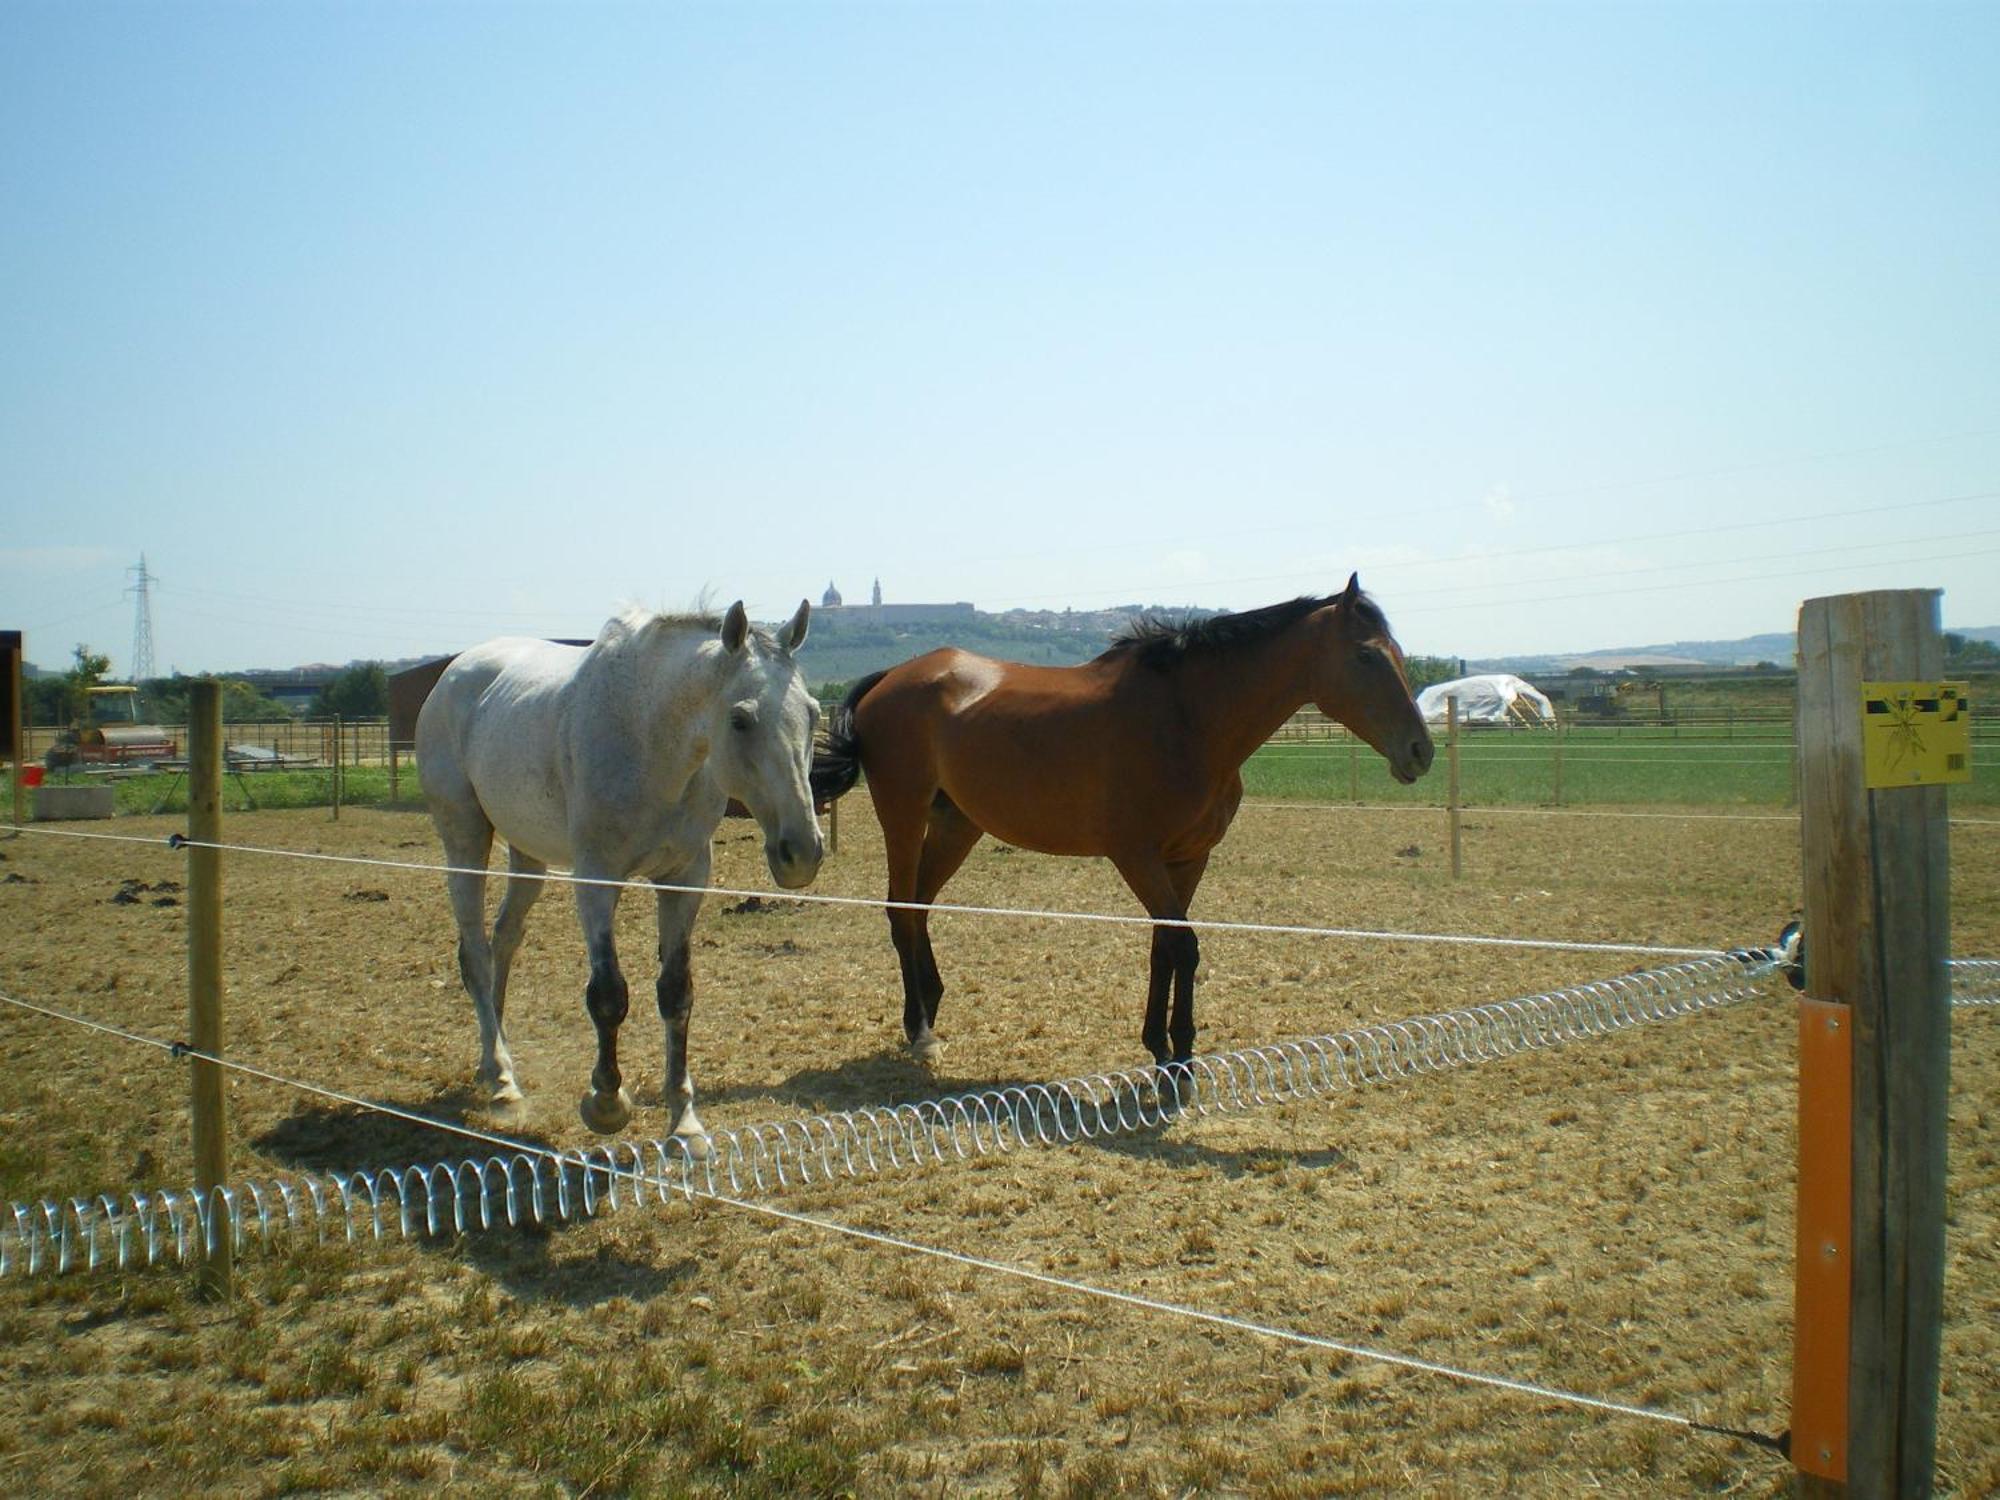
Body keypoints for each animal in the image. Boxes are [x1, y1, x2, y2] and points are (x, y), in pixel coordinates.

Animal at [414, 604, 820, 1144]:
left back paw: (492, 1060)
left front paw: (684, 1119)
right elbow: (608, 994)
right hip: (464, 838)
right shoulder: (596, 877)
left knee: (504, 940)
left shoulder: (685, 877)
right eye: (740, 719)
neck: (650, 742)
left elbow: (676, 991)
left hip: (528, 854)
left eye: (812, 713)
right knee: (476, 953)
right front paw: (606, 1102)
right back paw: (502, 1082)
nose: (803, 852)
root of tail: (454, 673)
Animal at [812, 572, 1440, 1072]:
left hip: (957, 825)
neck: (1185, 717)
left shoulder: (1188, 857)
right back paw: (920, 1030)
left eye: (1398, 651)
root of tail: (893, 675)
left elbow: (1165, 944)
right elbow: (1184, 946)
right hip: (903, 812)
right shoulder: (1137, 856)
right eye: (1366, 656)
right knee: (900, 908)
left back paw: (929, 1008)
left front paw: (1159, 1043)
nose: (1421, 751)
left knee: (920, 905)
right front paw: (1180, 1054)